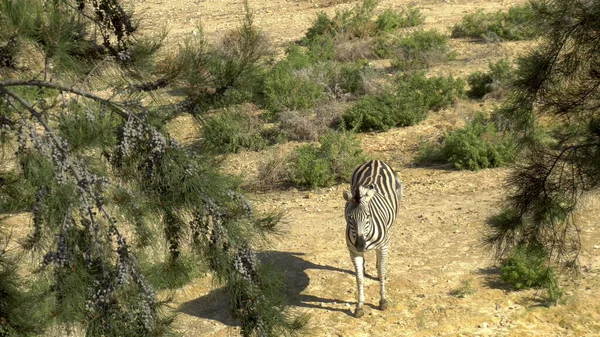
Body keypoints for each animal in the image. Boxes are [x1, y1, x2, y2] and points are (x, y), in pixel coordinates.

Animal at [342, 159, 404, 316]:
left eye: (368, 216)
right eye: (349, 218)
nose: (360, 245)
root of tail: (375, 160)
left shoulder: (384, 245)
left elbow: (381, 271)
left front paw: (383, 301)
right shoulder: (353, 251)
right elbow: (359, 279)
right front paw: (359, 306)